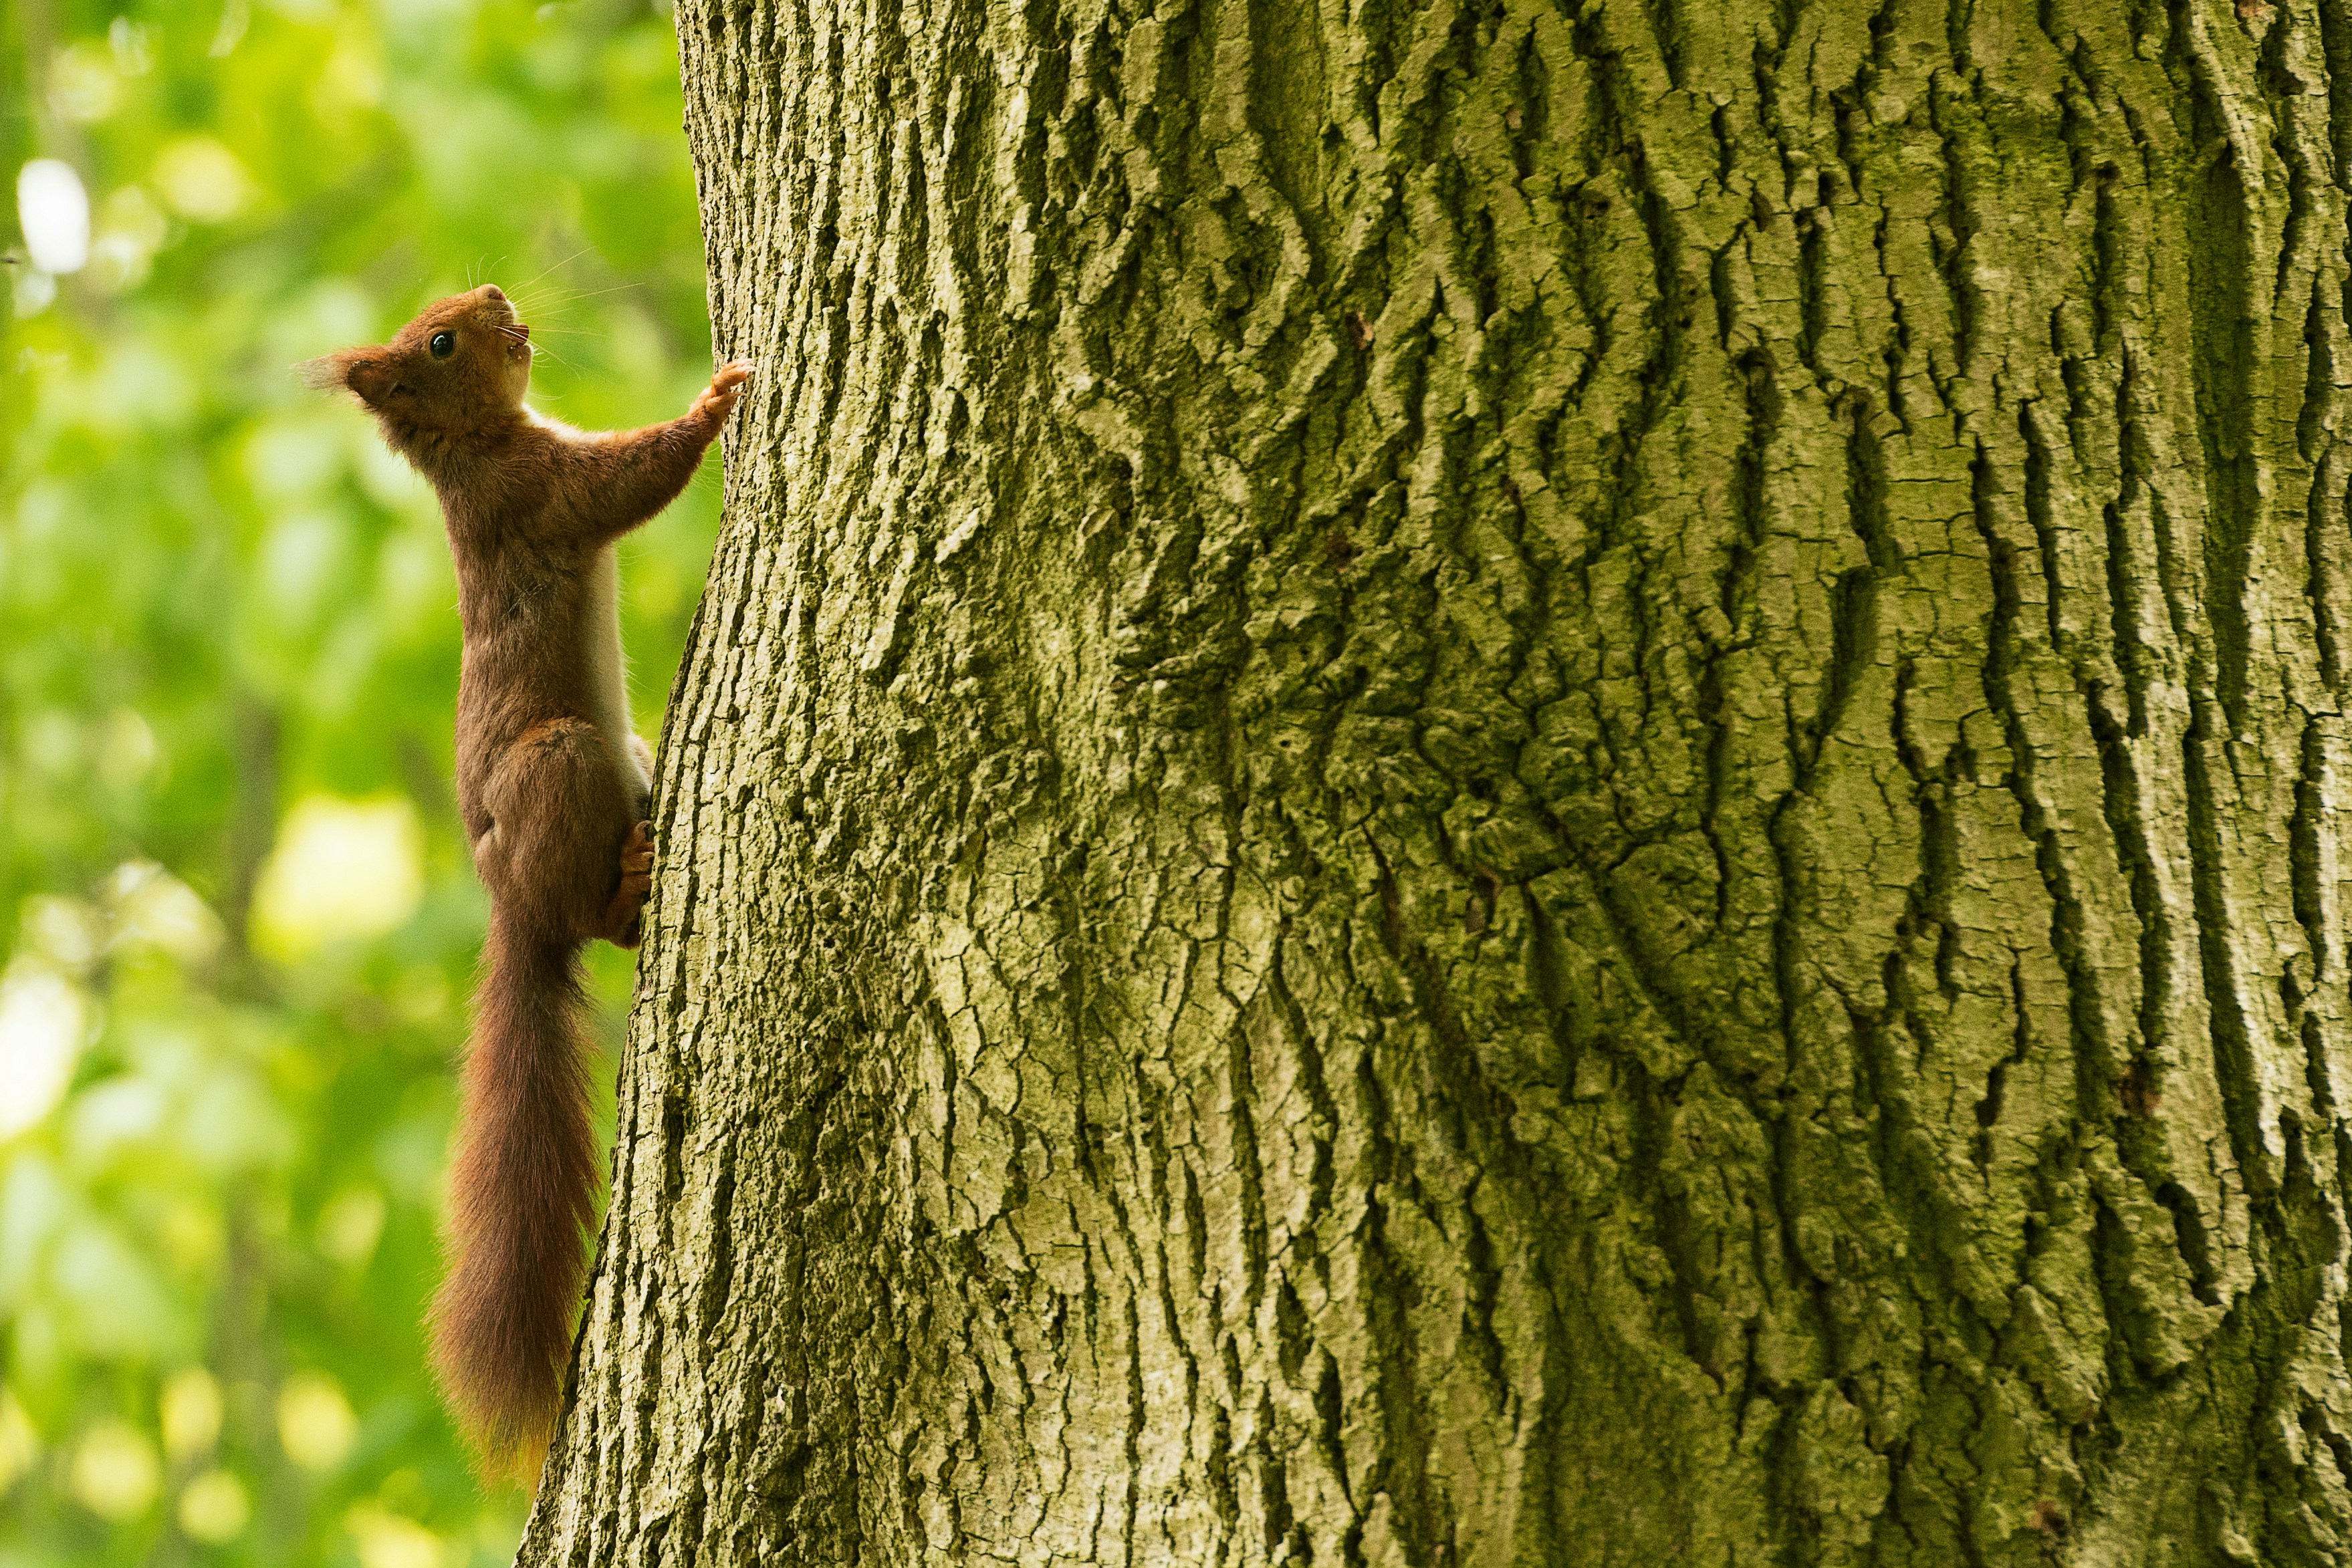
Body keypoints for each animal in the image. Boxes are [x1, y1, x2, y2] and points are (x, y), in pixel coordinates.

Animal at [307, 284, 750, 1477]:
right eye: (439, 341)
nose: (500, 297)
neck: (478, 448)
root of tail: (512, 904)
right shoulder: (544, 492)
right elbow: (633, 479)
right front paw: (715, 399)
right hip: (564, 761)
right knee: (595, 922)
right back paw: (628, 885)